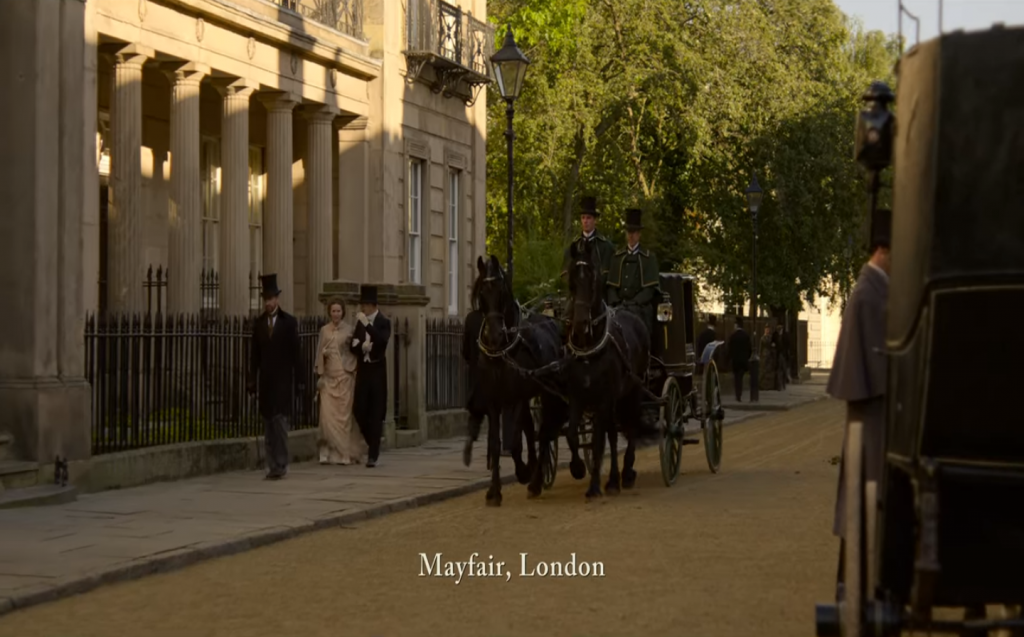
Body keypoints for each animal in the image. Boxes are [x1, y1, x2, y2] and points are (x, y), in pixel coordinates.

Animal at [468, 257, 585, 505]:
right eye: (482, 292)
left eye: (501, 291)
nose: (494, 336)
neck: (503, 350)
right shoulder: (494, 400)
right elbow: (496, 443)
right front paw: (494, 491)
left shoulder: (518, 396)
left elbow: (514, 440)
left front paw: (522, 472)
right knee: (538, 431)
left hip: (547, 394)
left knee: (547, 431)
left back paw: (545, 477)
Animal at [561, 238, 655, 499]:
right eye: (571, 280)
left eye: (592, 277)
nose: (581, 324)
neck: (589, 347)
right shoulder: (577, 397)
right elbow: (573, 435)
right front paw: (577, 467)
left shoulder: (603, 398)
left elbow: (597, 442)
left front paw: (594, 486)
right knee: (614, 433)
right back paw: (614, 479)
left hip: (632, 392)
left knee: (631, 428)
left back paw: (627, 472)